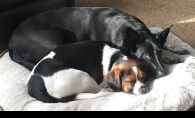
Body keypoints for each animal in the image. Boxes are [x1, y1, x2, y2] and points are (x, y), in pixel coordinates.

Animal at [8, 6, 189, 78]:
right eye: (144, 56)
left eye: (158, 53)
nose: (163, 74)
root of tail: (11, 43)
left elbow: (165, 43)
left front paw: (175, 51)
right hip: (55, 40)